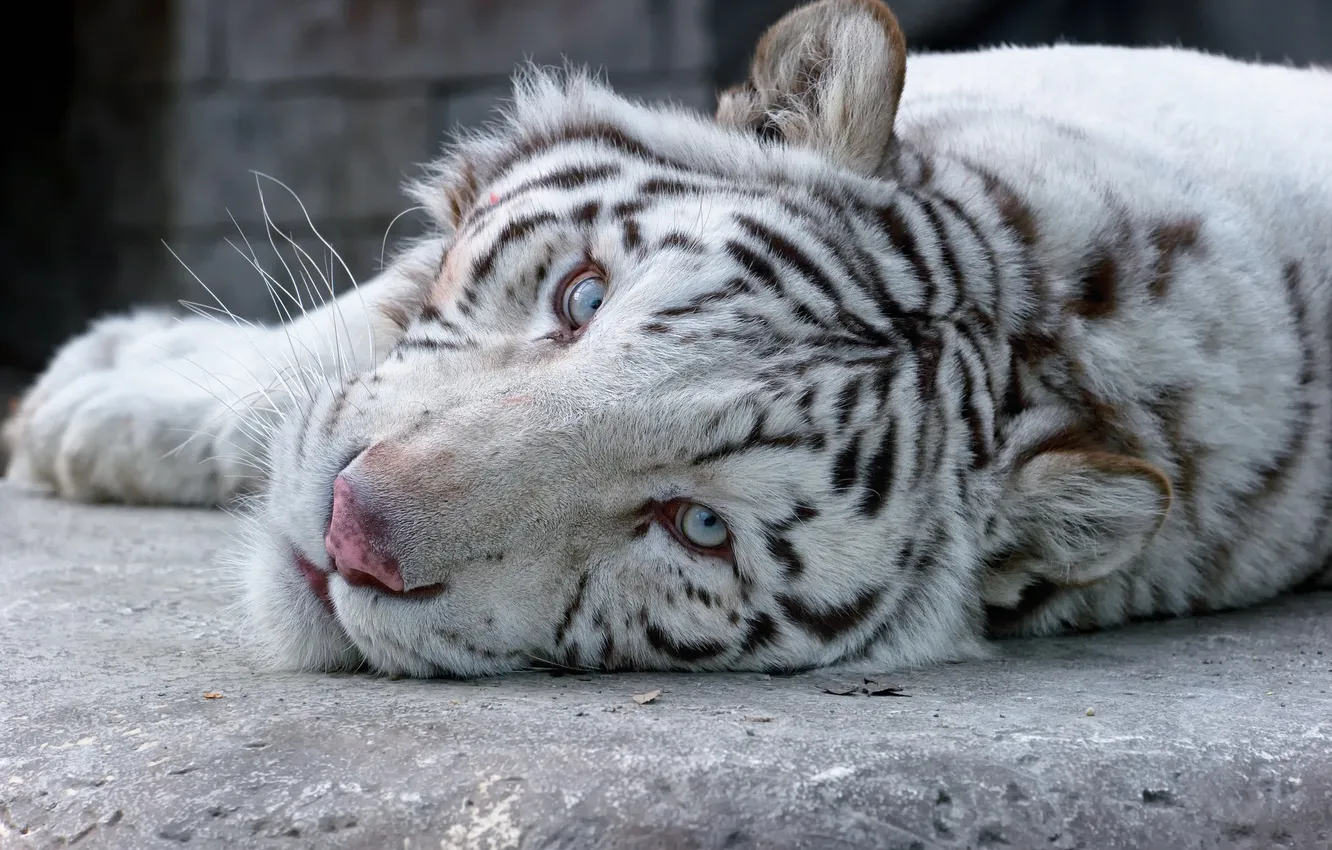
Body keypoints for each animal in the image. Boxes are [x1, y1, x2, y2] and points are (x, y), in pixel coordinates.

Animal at [4, 0, 1332, 678]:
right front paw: (100, 392)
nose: (350, 530)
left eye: (698, 527)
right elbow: (344, 330)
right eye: (586, 298)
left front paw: (88, 407)